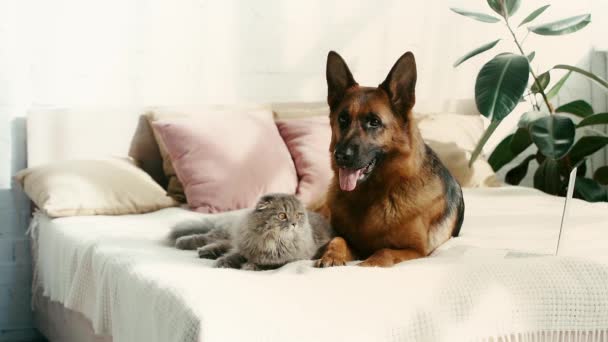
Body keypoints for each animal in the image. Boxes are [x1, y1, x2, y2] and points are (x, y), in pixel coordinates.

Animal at [170, 195, 332, 270]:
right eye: (282, 215)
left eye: (298, 215)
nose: (294, 224)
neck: (272, 242)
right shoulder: (246, 249)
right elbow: (233, 256)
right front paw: (222, 263)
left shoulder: (287, 260)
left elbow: (267, 265)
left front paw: (249, 266)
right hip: (229, 235)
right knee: (207, 237)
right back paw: (185, 243)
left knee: (218, 243)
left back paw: (205, 252)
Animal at [316, 52, 464, 268]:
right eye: (342, 119)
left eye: (374, 122)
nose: (340, 155)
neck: (372, 194)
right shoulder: (353, 243)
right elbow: (338, 238)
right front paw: (332, 255)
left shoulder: (416, 251)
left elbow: (384, 251)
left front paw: (368, 265)